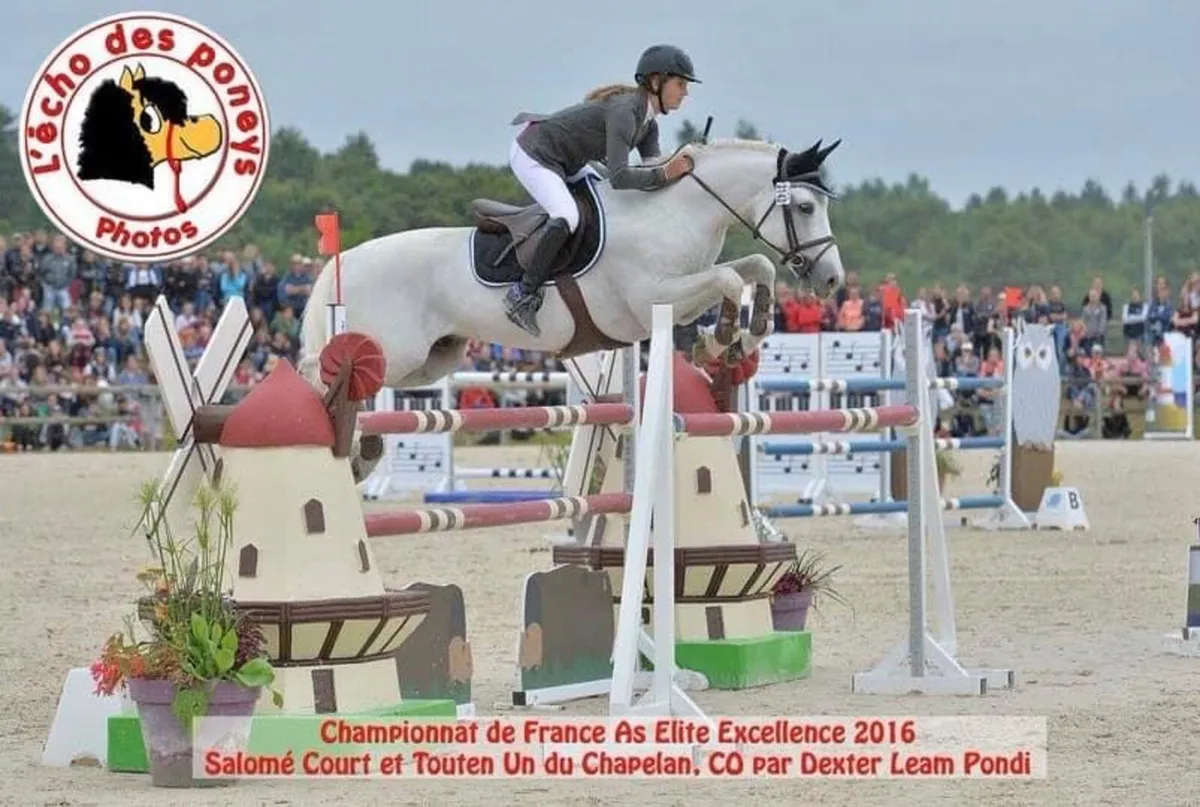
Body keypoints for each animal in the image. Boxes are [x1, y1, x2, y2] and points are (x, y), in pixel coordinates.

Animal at [298, 136, 847, 480]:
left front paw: (738, 339)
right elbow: (731, 278)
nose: (831, 279)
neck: (674, 212)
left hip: (433, 359)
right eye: (804, 207)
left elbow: (757, 266)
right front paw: (722, 339)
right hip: (395, 349)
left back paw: (362, 455)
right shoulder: (656, 299)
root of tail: (341, 262)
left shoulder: (685, 296)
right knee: (320, 376)